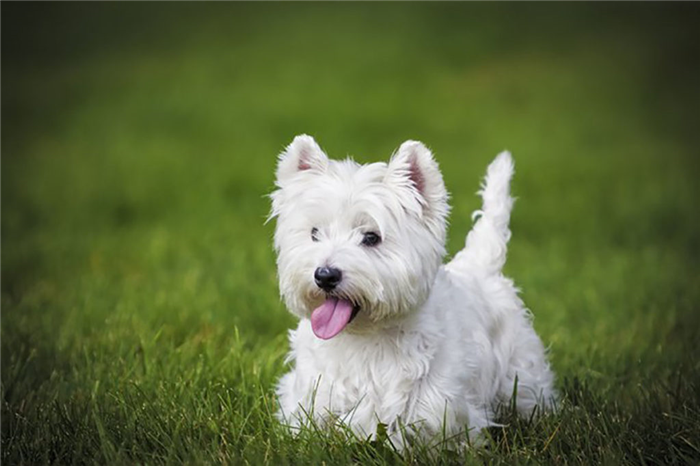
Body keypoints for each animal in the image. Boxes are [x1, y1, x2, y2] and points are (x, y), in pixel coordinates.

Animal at [270, 136, 556, 448]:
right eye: (314, 233)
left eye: (371, 237)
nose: (324, 275)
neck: (364, 339)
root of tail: (480, 265)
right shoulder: (312, 397)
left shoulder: (441, 409)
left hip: (521, 369)